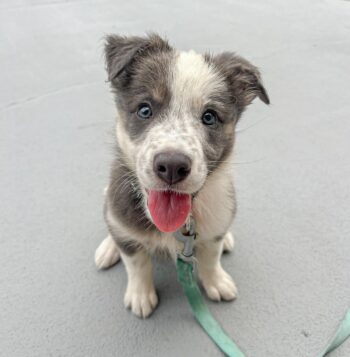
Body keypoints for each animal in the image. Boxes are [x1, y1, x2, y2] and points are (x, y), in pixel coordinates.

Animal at [94, 33, 270, 318]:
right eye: (145, 110)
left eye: (209, 117)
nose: (172, 166)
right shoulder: (124, 220)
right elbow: (137, 262)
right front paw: (140, 295)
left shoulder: (215, 221)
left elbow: (210, 257)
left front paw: (216, 281)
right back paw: (109, 248)